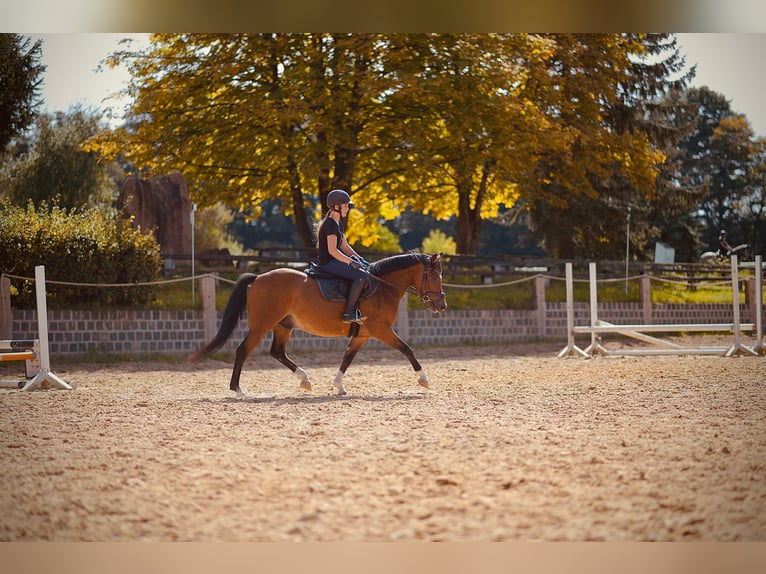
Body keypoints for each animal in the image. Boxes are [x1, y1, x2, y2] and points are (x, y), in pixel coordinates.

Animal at [188, 254, 448, 398]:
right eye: (435, 277)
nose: (442, 306)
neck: (382, 286)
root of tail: (259, 277)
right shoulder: (380, 329)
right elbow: (407, 349)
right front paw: (423, 379)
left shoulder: (363, 334)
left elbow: (347, 357)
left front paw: (338, 386)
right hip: (262, 324)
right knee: (243, 349)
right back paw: (238, 390)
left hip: (284, 326)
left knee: (277, 352)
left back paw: (304, 380)